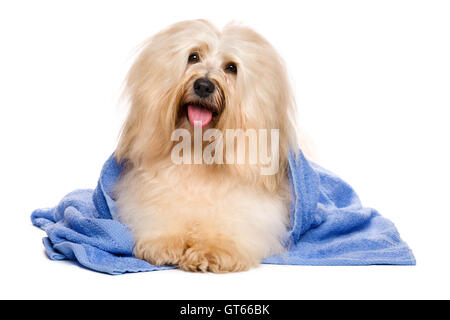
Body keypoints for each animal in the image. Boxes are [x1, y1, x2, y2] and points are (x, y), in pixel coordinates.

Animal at [114, 19, 300, 272]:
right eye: (193, 56)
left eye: (231, 67)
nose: (203, 85)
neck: (199, 149)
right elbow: (161, 214)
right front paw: (165, 242)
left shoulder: (252, 210)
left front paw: (211, 250)